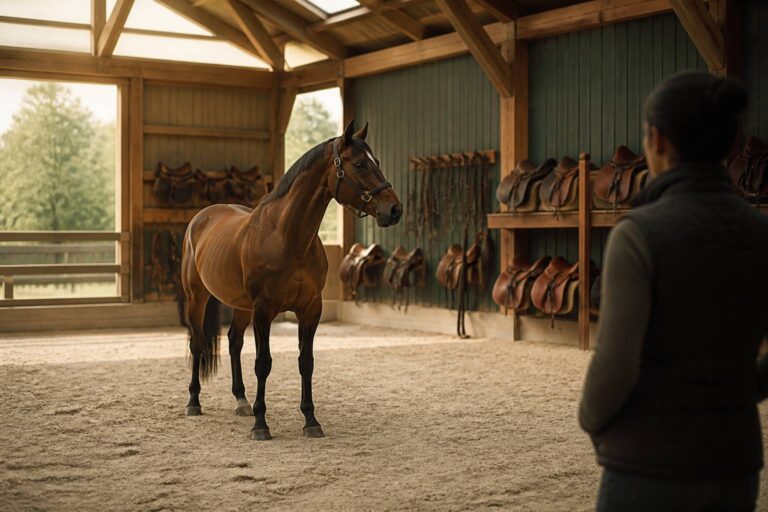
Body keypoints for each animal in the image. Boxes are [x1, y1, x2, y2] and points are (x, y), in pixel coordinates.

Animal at [180, 121, 402, 440]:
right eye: (360, 164)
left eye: (378, 163)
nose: (395, 210)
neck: (287, 237)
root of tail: (202, 217)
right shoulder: (264, 310)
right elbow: (263, 364)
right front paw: (261, 424)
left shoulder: (310, 308)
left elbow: (305, 362)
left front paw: (311, 420)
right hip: (197, 297)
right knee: (197, 344)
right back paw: (194, 402)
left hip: (241, 306)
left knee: (234, 343)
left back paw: (241, 401)